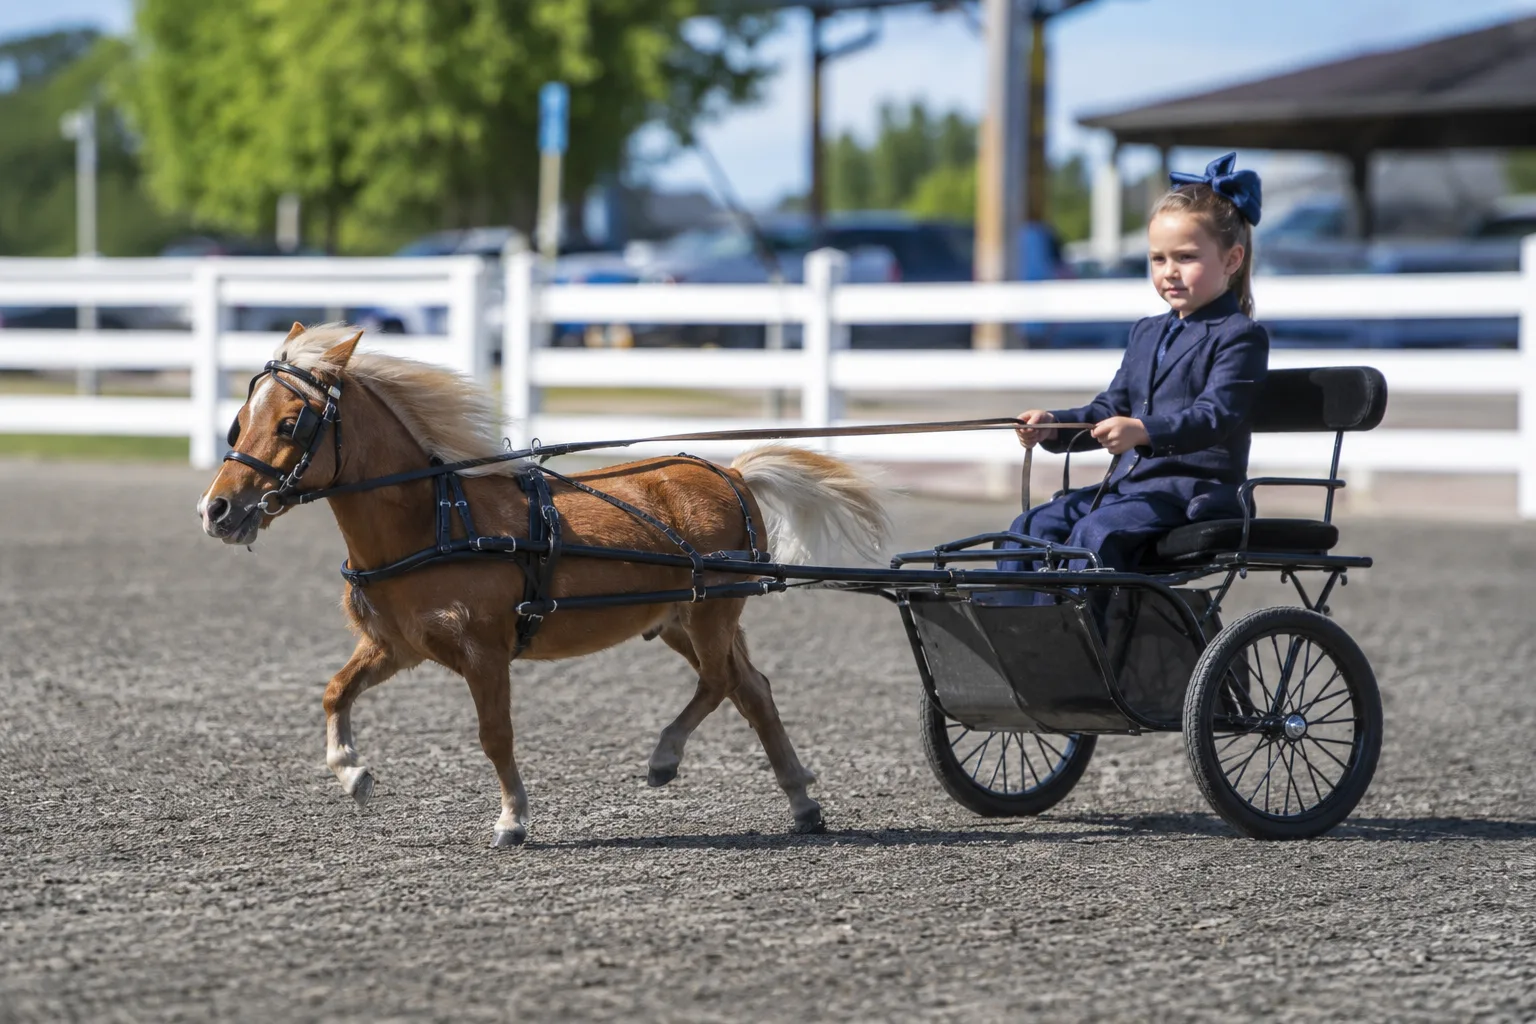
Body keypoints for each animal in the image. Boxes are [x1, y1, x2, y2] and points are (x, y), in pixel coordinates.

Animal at [197, 324, 890, 846]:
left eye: (291, 424)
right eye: (238, 420)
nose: (218, 510)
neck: (435, 519)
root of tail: (732, 472)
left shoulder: (483, 652)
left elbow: (494, 734)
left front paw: (512, 819)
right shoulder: (396, 646)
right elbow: (335, 692)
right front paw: (351, 772)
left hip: (710, 614)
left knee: (722, 682)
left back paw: (666, 757)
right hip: (682, 617)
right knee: (753, 690)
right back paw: (801, 802)